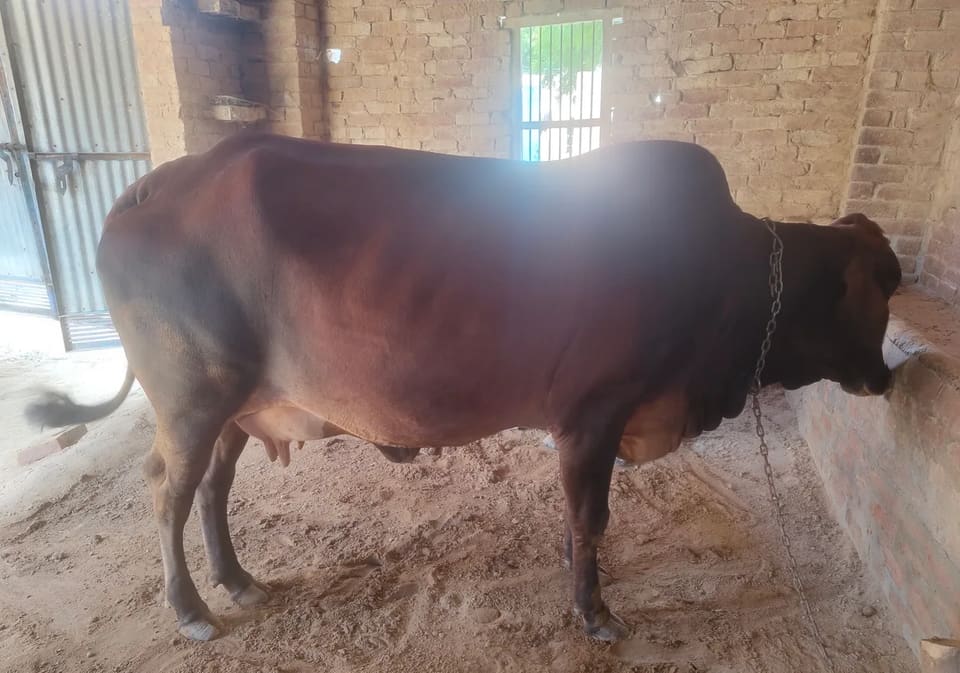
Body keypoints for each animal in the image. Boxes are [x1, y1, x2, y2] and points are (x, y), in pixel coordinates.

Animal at [26, 133, 901, 643]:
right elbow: (593, 516)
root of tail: (149, 185)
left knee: (211, 487)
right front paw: (594, 611)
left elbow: (579, 517)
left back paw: (236, 579)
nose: (887, 374)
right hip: (192, 395)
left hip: (236, 406)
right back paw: (190, 609)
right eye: (886, 284)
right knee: (166, 492)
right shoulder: (594, 412)